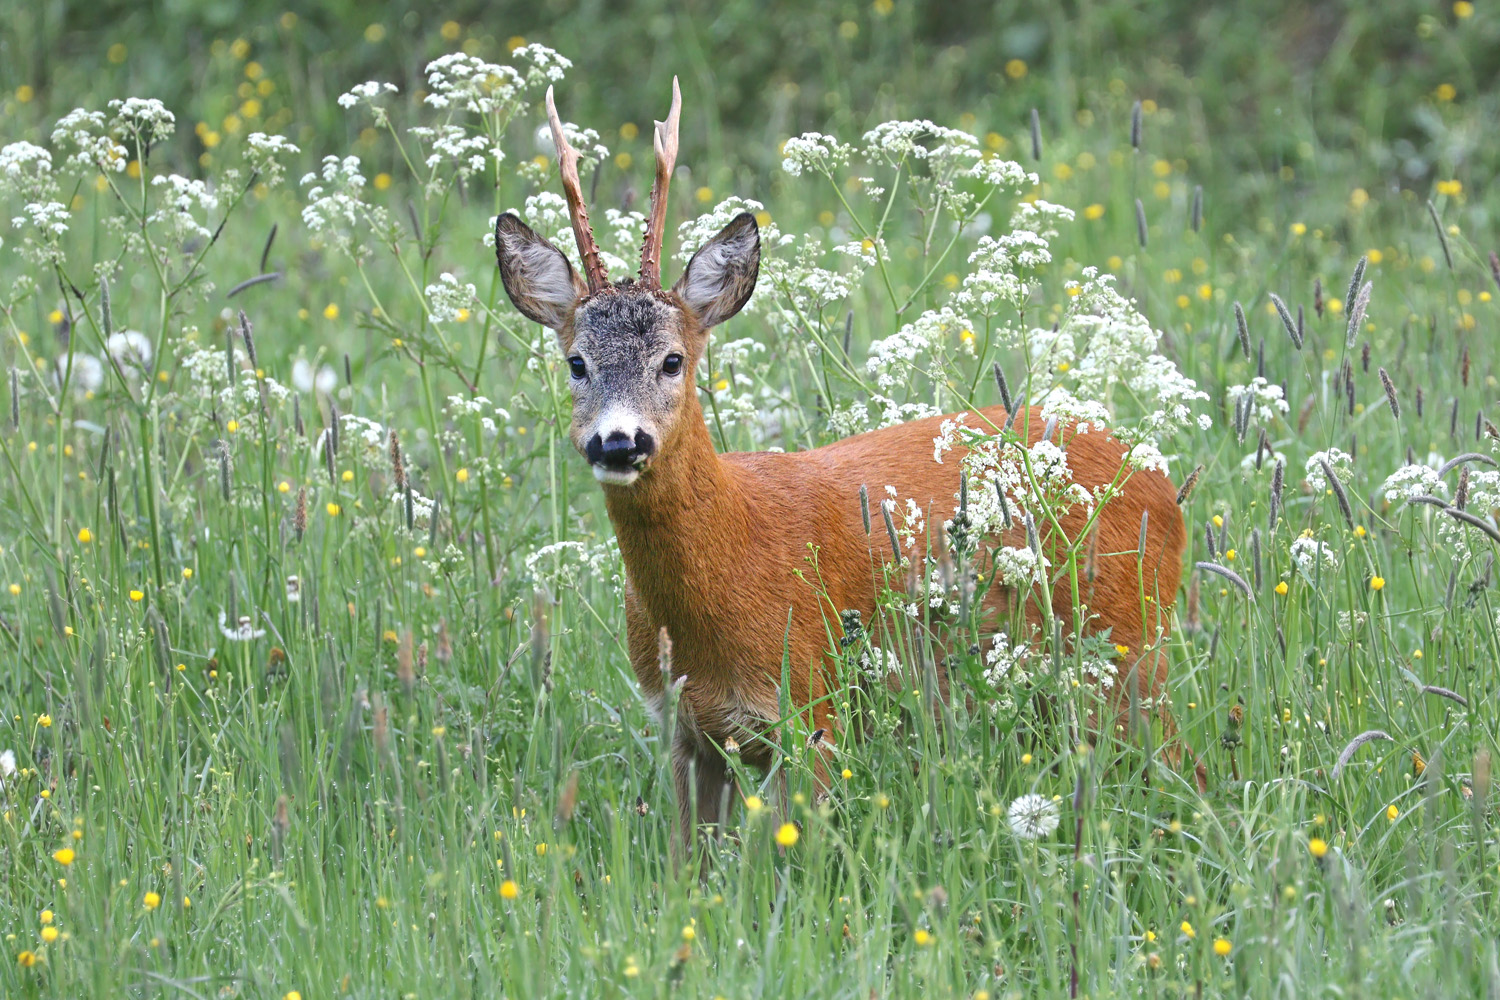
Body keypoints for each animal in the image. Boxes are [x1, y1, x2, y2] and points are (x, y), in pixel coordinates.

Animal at [493, 80, 1190, 851]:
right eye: (576, 362)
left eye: (673, 360)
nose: (619, 443)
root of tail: (1156, 473)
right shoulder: (684, 729)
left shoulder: (813, 708)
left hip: (1131, 645)